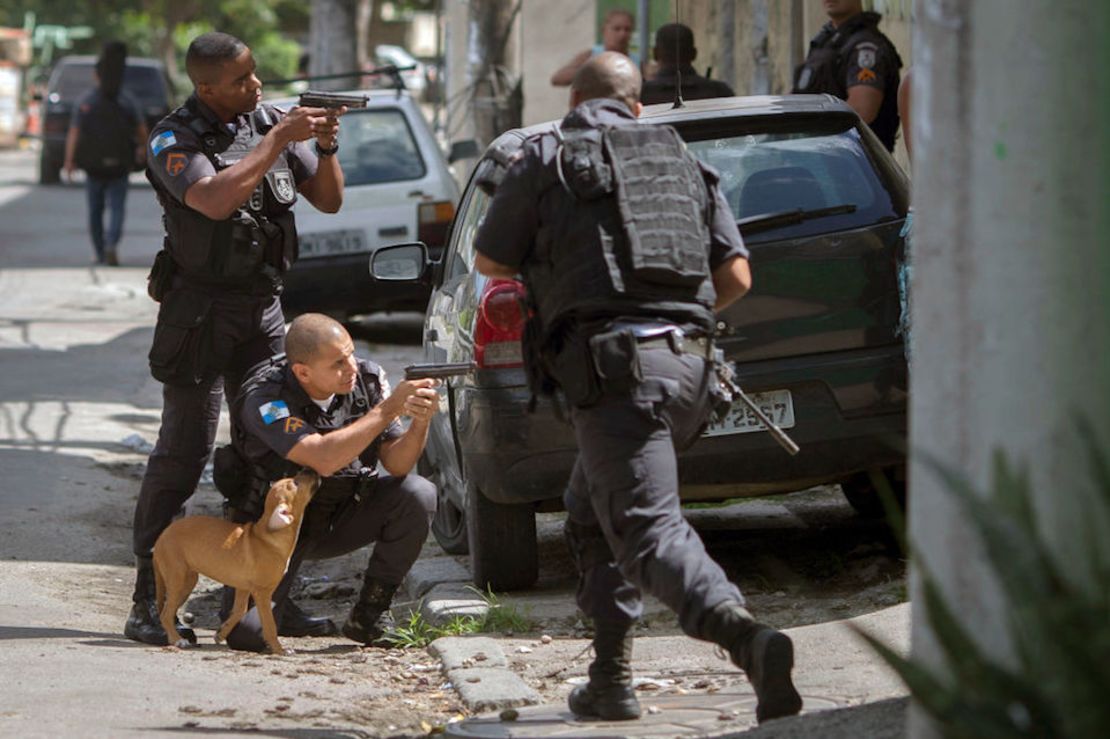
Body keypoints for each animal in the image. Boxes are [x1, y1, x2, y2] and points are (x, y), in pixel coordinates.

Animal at [150, 468, 321, 652]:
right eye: (294, 483)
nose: (310, 469)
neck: (269, 535)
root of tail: (161, 537)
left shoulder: (243, 587)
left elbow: (239, 610)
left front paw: (221, 633)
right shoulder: (263, 593)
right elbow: (270, 625)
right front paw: (279, 649)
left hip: (187, 582)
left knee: (167, 610)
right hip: (178, 579)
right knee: (165, 613)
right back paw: (178, 640)